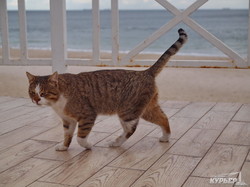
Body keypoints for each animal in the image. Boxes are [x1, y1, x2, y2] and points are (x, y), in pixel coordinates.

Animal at [26, 28, 187, 151]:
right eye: (32, 92)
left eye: (43, 93)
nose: (36, 100)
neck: (58, 102)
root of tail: (145, 72)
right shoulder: (68, 120)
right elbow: (68, 136)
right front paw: (64, 147)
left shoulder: (87, 115)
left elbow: (80, 137)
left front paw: (88, 145)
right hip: (148, 109)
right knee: (163, 118)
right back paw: (165, 137)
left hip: (127, 111)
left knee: (130, 129)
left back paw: (116, 142)